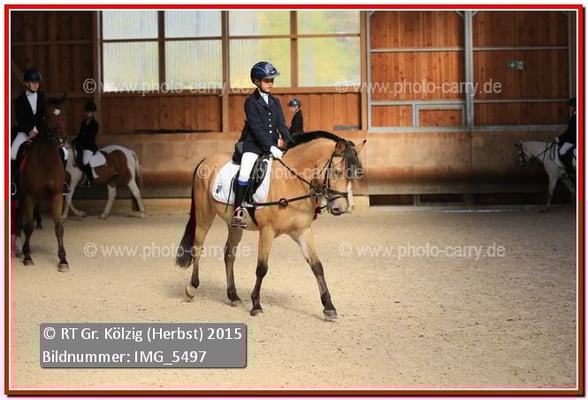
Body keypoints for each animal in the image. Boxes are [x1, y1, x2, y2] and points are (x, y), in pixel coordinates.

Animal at [14, 96, 69, 271]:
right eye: (46, 116)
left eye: (64, 113)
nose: (61, 139)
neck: (46, 161)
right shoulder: (30, 196)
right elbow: (29, 227)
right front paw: (27, 257)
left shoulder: (57, 196)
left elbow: (59, 227)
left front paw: (63, 260)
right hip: (23, 197)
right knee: (19, 219)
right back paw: (18, 248)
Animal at [176, 131, 365, 320]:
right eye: (336, 172)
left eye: (352, 175)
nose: (340, 208)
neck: (291, 181)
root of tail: (206, 159)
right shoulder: (267, 231)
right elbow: (262, 268)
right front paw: (256, 306)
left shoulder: (303, 231)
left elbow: (317, 266)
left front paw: (329, 307)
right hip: (204, 215)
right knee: (197, 248)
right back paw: (192, 288)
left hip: (234, 224)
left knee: (229, 254)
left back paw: (233, 296)